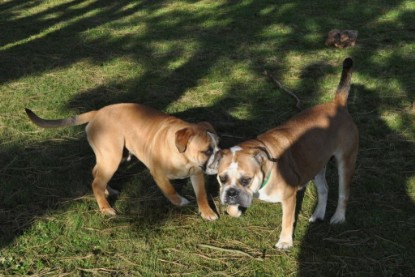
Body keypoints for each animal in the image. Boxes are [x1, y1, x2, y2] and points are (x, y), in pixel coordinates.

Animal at [26, 102, 221, 219]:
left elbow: (201, 194)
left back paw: (108, 191)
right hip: (112, 157)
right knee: (96, 182)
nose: (221, 158)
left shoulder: (197, 173)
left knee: (96, 173)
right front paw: (179, 201)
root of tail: (97, 112)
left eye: (218, 145)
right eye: (207, 150)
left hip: (113, 156)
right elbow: (170, 189)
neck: (183, 156)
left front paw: (207, 212)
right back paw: (105, 208)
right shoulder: (158, 173)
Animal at [213, 58, 360, 248]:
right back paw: (318, 214)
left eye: (247, 180)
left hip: (346, 161)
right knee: (324, 189)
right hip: (316, 163)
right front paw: (234, 211)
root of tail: (337, 104)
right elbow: (233, 208)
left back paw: (338, 217)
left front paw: (284, 241)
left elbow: (287, 220)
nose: (231, 193)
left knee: (343, 192)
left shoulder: (289, 197)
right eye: (222, 178)